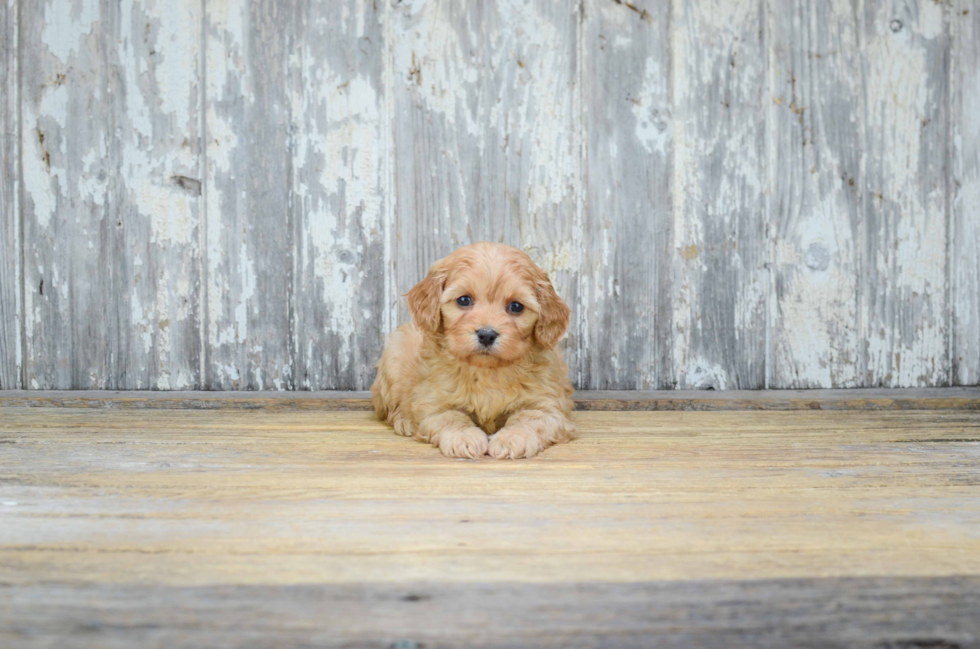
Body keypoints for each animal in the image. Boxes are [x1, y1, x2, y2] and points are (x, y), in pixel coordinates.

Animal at [372, 240, 580, 458]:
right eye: (464, 300)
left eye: (516, 306)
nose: (487, 335)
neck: (487, 370)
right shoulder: (432, 404)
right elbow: (451, 417)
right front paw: (464, 438)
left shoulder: (549, 406)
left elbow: (529, 419)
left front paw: (511, 439)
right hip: (392, 364)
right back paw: (404, 422)